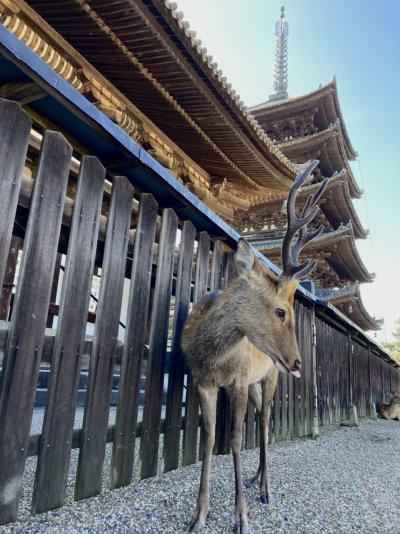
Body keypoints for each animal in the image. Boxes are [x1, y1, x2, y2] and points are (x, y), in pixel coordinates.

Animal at [181, 160, 328, 534]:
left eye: (291, 311)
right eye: (280, 311)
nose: (297, 361)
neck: (212, 356)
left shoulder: (238, 380)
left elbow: (235, 438)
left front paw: (241, 518)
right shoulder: (203, 381)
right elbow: (209, 437)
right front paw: (199, 515)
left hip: (269, 376)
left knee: (264, 419)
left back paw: (265, 487)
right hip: (256, 383)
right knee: (263, 415)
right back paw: (255, 478)